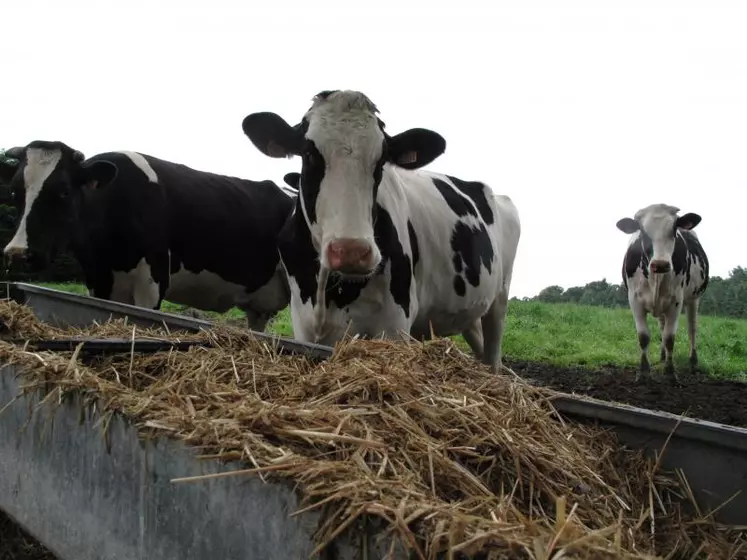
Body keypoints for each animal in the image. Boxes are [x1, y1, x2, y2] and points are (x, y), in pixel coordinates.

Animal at [0, 141, 298, 332]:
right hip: (259, 305)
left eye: (63, 191)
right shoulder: (99, 282)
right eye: (14, 191)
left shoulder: (152, 281)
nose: (18, 253)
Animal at [243, 89, 524, 374]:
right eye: (309, 155)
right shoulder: (303, 323)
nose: (351, 252)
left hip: (500, 300)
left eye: (380, 162)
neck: (333, 291)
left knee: (493, 356)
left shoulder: (395, 323)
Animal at [616, 203, 712, 382]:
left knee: (692, 329)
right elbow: (644, 336)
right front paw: (644, 371)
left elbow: (669, 338)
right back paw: (662, 356)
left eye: (674, 228)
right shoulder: (634, 301)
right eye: (642, 230)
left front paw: (670, 372)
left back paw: (693, 362)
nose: (660, 264)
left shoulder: (676, 302)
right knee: (661, 325)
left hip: (694, 299)